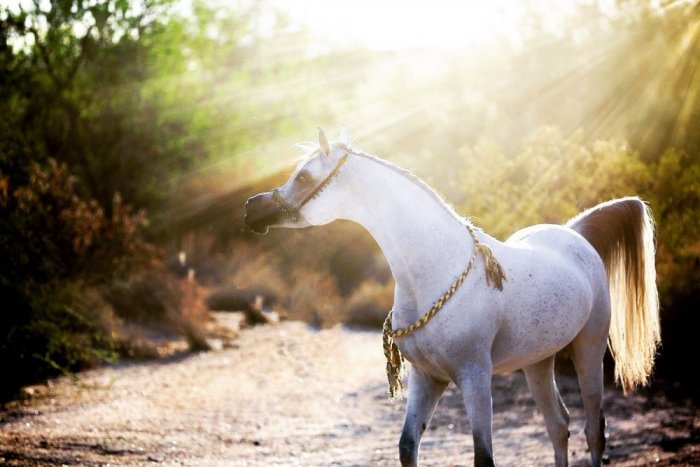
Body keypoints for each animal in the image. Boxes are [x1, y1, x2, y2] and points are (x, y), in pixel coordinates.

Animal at [243, 128, 660, 467]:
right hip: (538, 362)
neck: (435, 269)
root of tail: (575, 233)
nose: (251, 209)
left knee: (594, 431)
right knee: (559, 426)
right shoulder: (427, 377)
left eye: (304, 176)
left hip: (589, 348)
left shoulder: (474, 376)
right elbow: (407, 447)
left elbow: (483, 457)